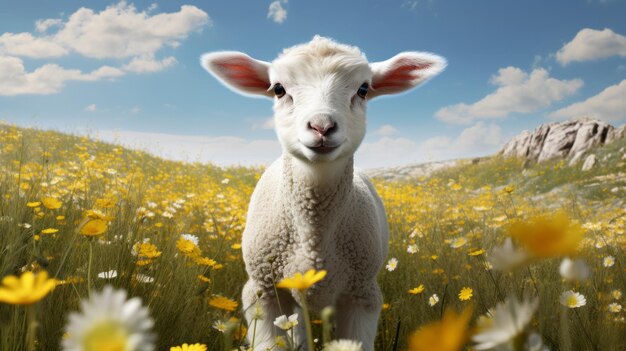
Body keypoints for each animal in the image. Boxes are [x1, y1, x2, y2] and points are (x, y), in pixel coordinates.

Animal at [200, 36, 444, 351]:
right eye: (278, 89)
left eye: (363, 89)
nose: (322, 126)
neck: (314, 234)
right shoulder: (262, 292)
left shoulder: (362, 295)